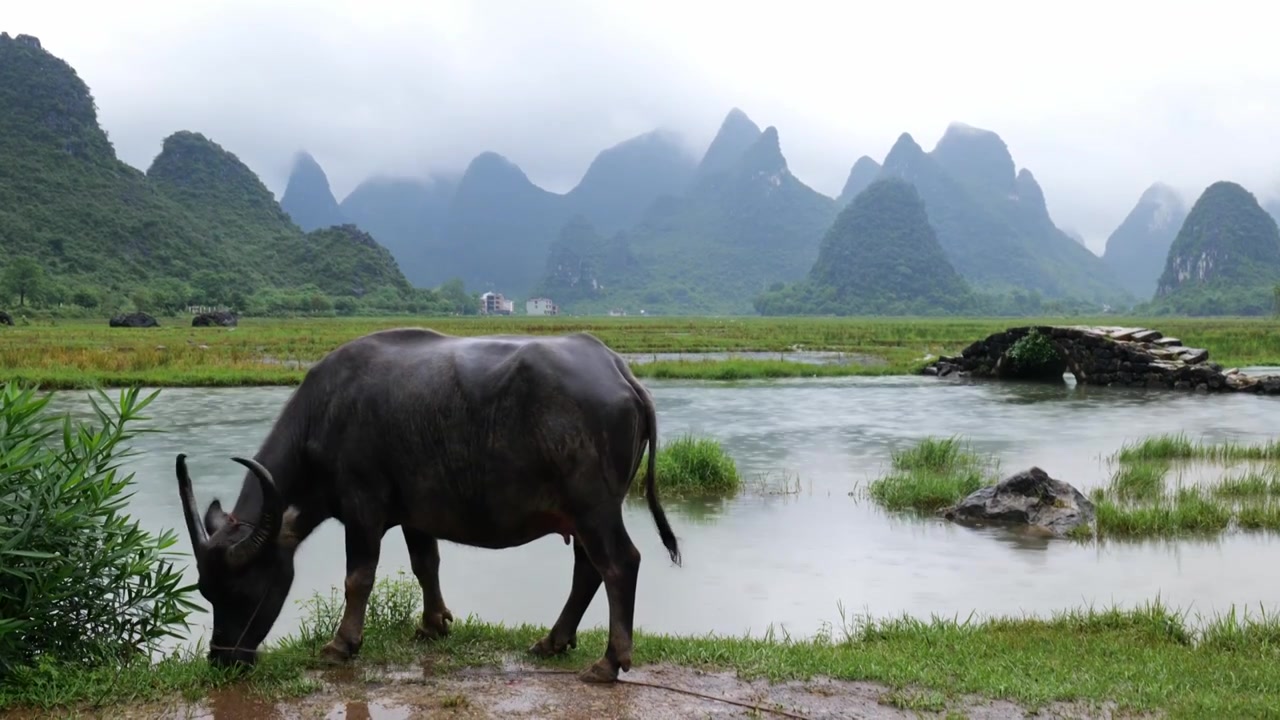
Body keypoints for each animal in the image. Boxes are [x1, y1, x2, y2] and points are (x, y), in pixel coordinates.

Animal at [179, 327, 686, 681]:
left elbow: (358, 579)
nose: (223, 659)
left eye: (243, 589)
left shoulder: (362, 510)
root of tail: (619, 372)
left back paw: (610, 662)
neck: (324, 414)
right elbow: (426, 564)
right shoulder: (414, 515)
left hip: (596, 509)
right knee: (587, 570)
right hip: (581, 515)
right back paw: (554, 641)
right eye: (206, 592)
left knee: (619, 564)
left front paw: (341, 645)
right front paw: (433, 624)